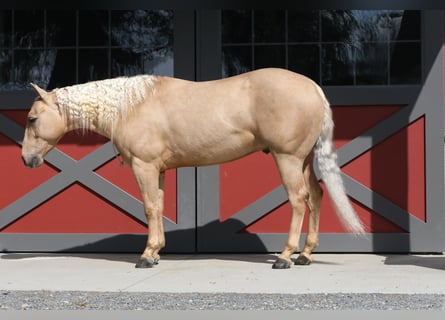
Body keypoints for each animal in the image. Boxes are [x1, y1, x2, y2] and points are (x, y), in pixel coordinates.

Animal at [20, 69, 362, 268]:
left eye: (32, 119)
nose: (26, 159)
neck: (132, 105)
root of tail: (313, 88)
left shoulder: (144, 166)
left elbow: (149, 208)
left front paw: (146, 256)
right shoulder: (157, 169)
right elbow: (158, 207)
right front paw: (156, 251)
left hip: (287, 158)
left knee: (299, 200)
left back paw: (285, 256)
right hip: (303, 160)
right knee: (316, 196)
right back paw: (305, 254)